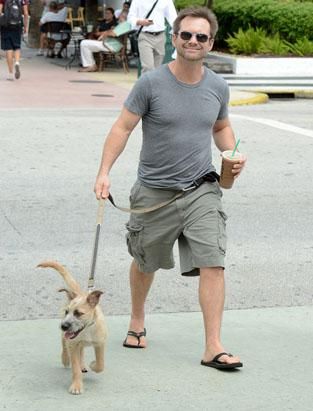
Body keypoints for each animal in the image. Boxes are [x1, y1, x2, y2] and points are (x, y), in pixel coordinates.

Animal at [36, 260, 106, 396]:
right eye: (66, 312)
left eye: (79, 313)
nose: (63, 326)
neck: (86, 330)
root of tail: (79, 292)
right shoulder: (73, 344)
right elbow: (75, 367)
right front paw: (77, 385)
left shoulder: (100, 344)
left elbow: (100, 364)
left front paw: (93, 365)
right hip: (67, 339)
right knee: (64, 345)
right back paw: (65, 359)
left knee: (81, 351)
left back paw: (83, 364)